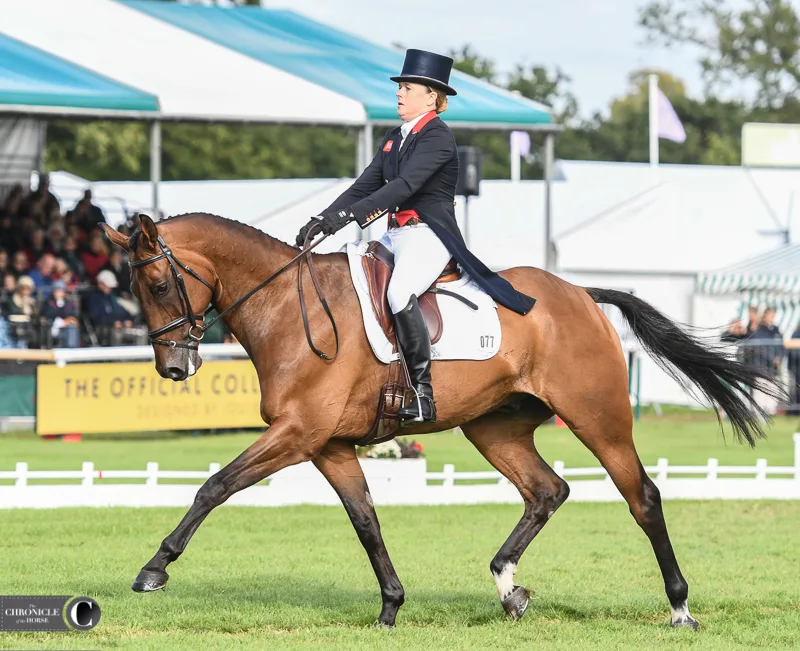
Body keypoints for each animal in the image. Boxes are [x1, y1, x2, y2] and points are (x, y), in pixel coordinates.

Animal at [101, 215, 780, 632]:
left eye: (158, 283)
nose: (172, 368)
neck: (288, 308)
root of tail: (580, 295)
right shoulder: (329, 446)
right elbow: (366, 523)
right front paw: (390, 608)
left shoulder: (297, 434)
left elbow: (214, 486)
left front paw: (153, 570)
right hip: (494, 427)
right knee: (547, 490)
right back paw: (509, 589)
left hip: (599, 419)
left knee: (643, 497)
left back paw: (680, 608)